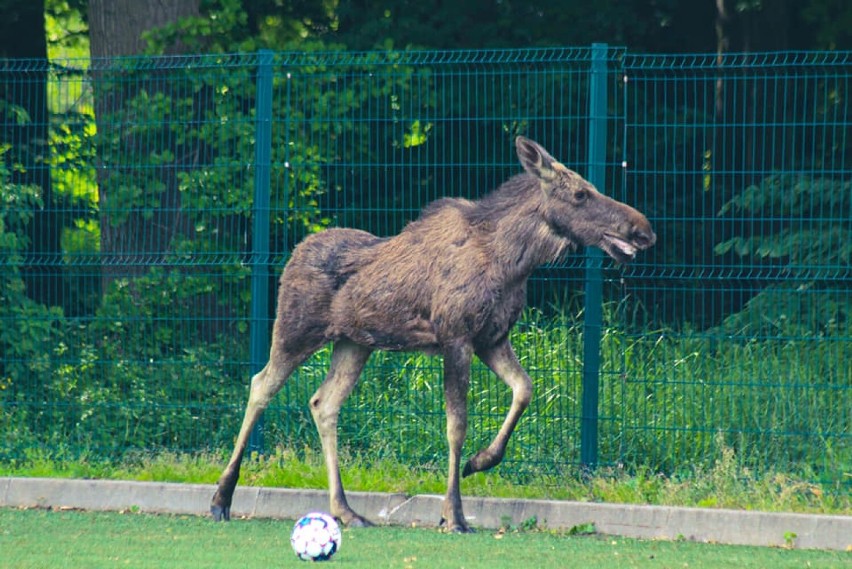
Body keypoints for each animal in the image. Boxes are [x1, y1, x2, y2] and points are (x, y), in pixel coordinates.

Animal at [210, 135, 656, 532]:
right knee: (260, 385)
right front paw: (454, 515)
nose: (643, 229)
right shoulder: (456, 337)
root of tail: (293, 255)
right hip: (295, 330)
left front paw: (480, 462)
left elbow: (524, 389)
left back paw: (346, 511)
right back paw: (221, 498)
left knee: (323, 402)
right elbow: (456, 425)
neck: (514, 262)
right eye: (581, 194)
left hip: (354, 344)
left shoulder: (491, 339)